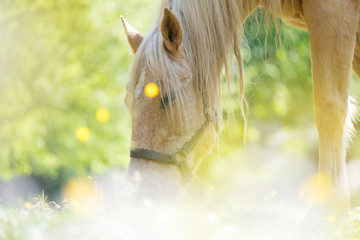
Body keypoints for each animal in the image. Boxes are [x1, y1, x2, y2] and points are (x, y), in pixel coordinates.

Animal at [121, 0, 360, 216]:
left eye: (170, 97)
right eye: (127, 103)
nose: (139, 192)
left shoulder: (333, 14)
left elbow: (328, 108)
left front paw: (330, 207)